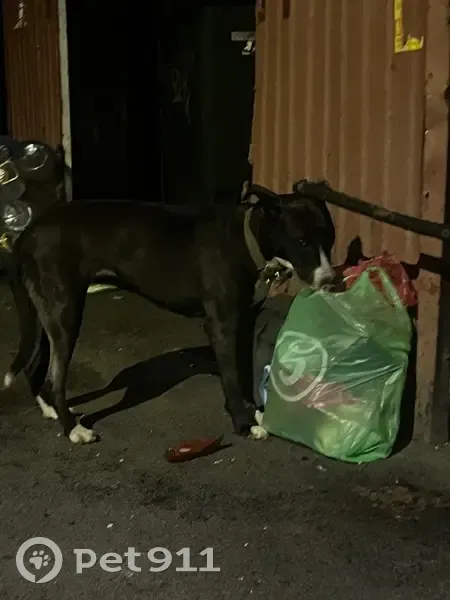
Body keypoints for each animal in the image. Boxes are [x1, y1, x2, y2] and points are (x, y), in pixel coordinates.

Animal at [2, 185, 335, 444]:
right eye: (302, 241)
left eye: (330, 239)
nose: (330, 281)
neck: (246, 240)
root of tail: (27, 234)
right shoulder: (222, 325)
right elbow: (230, 376)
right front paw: (243, 424)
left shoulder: (245, 320)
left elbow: (242, 370)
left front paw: (252, 411)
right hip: (66, 313)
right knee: (55, 378)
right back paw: (73, 430)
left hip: (46, 313)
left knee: (36, 367)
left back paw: (51, 410)